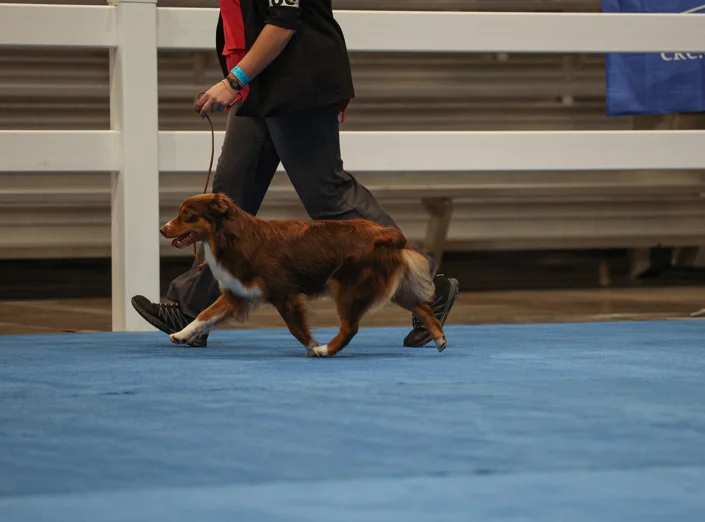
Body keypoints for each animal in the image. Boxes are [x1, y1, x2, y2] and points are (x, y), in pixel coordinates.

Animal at [160, 193, 446, 356]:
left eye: (186, 215)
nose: (162, 229)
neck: (233, 237)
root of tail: (384, 232)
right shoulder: (237, 294)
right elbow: (204, 315)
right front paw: (182, 334)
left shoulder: (284, 294)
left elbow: (296, 328)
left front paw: (311, 345)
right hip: (390, 287)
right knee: (422, 307)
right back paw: (439, 338)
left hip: (349, 287)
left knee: (350, 327)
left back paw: (325, 350)